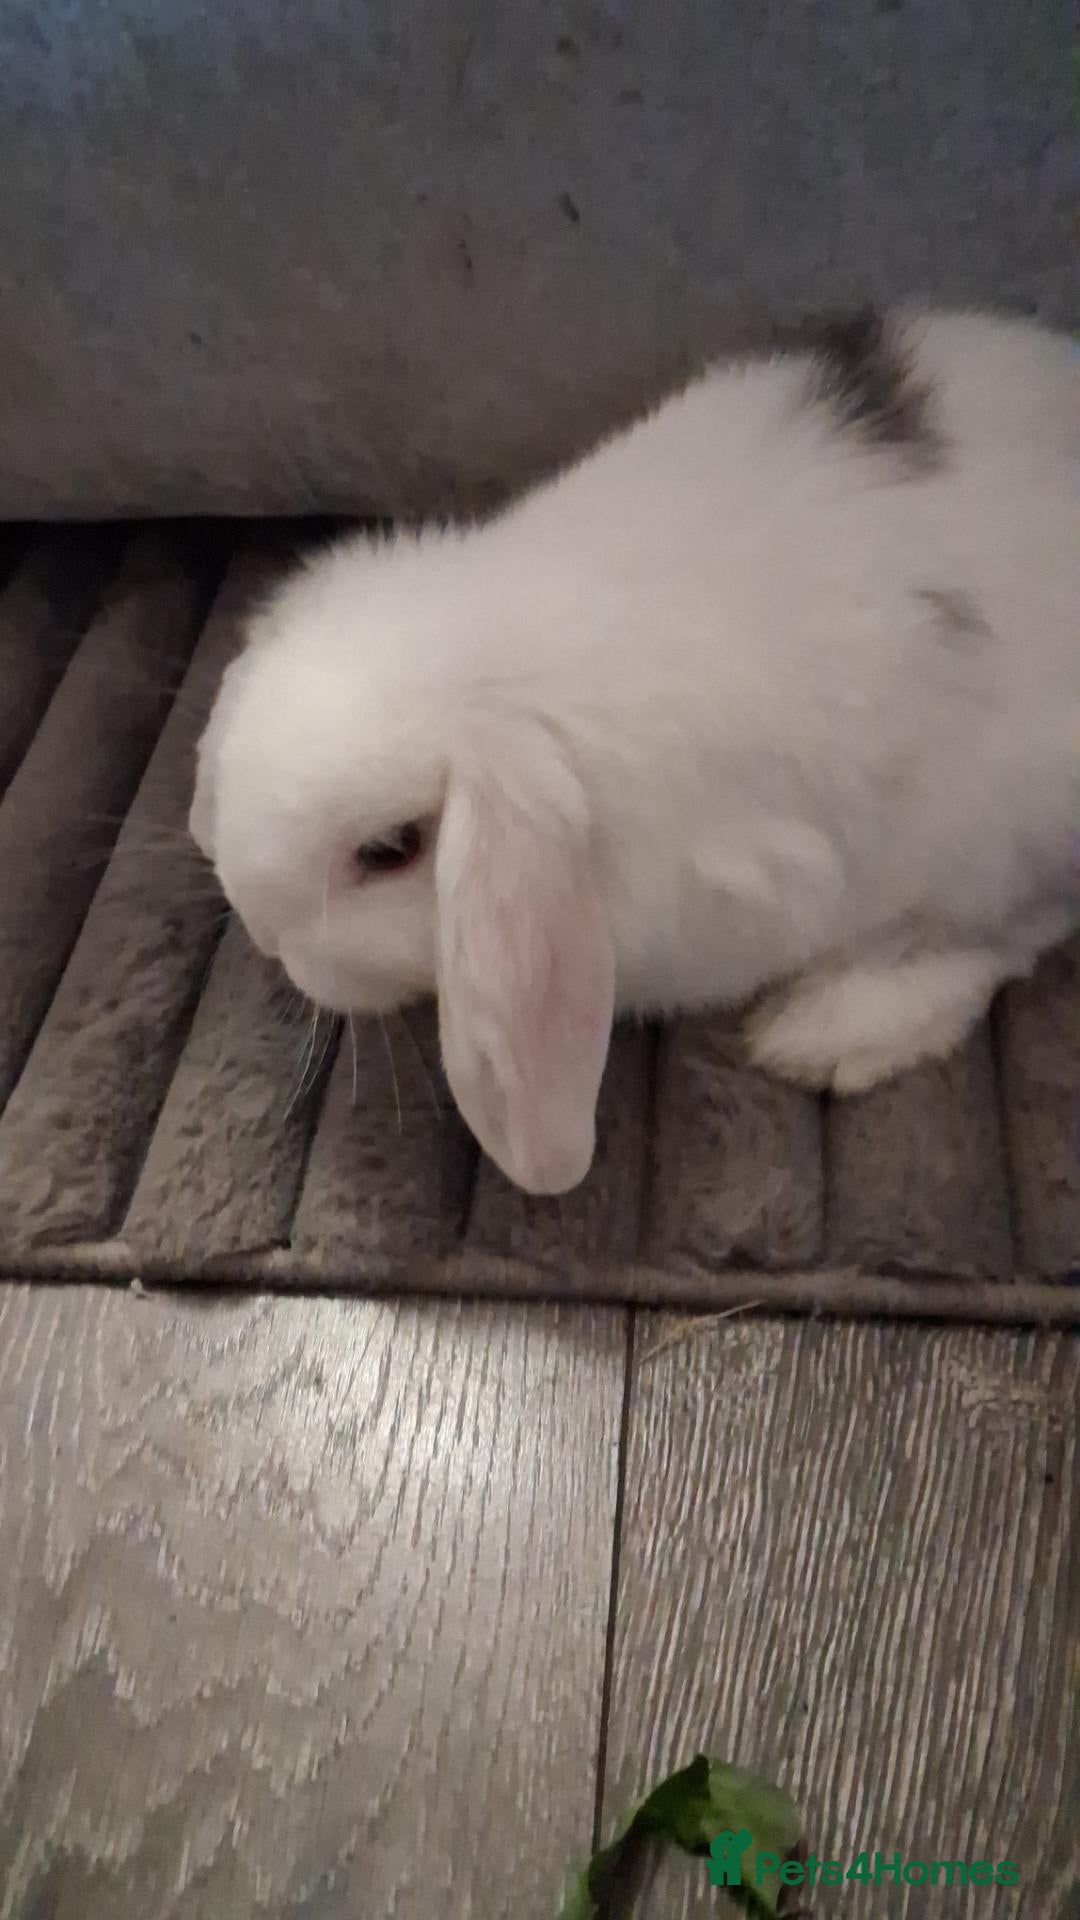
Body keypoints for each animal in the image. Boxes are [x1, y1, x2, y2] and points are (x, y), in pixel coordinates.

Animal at [191, 307, 1080, 1196]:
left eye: (388, 850)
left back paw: (831, 1032)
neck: (498, 668)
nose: (261, 930)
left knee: (1010, 935)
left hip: (994, 841)